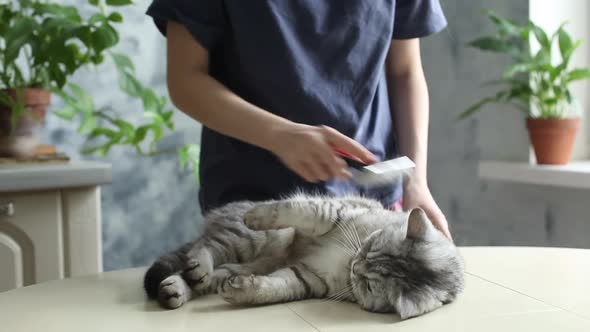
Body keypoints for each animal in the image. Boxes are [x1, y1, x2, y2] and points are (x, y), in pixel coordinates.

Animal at [145, 193, 468, 320]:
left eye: (367, 285)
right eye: (368, 247)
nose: (356, 265)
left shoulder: (306, 278)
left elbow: (271, 289)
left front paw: (243, 291)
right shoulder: (330, 213)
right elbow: (289, 209)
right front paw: (259, 215)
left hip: (243, 261)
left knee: (203, 275)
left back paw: (176, 289)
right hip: (246, 239)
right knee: (204, 248)